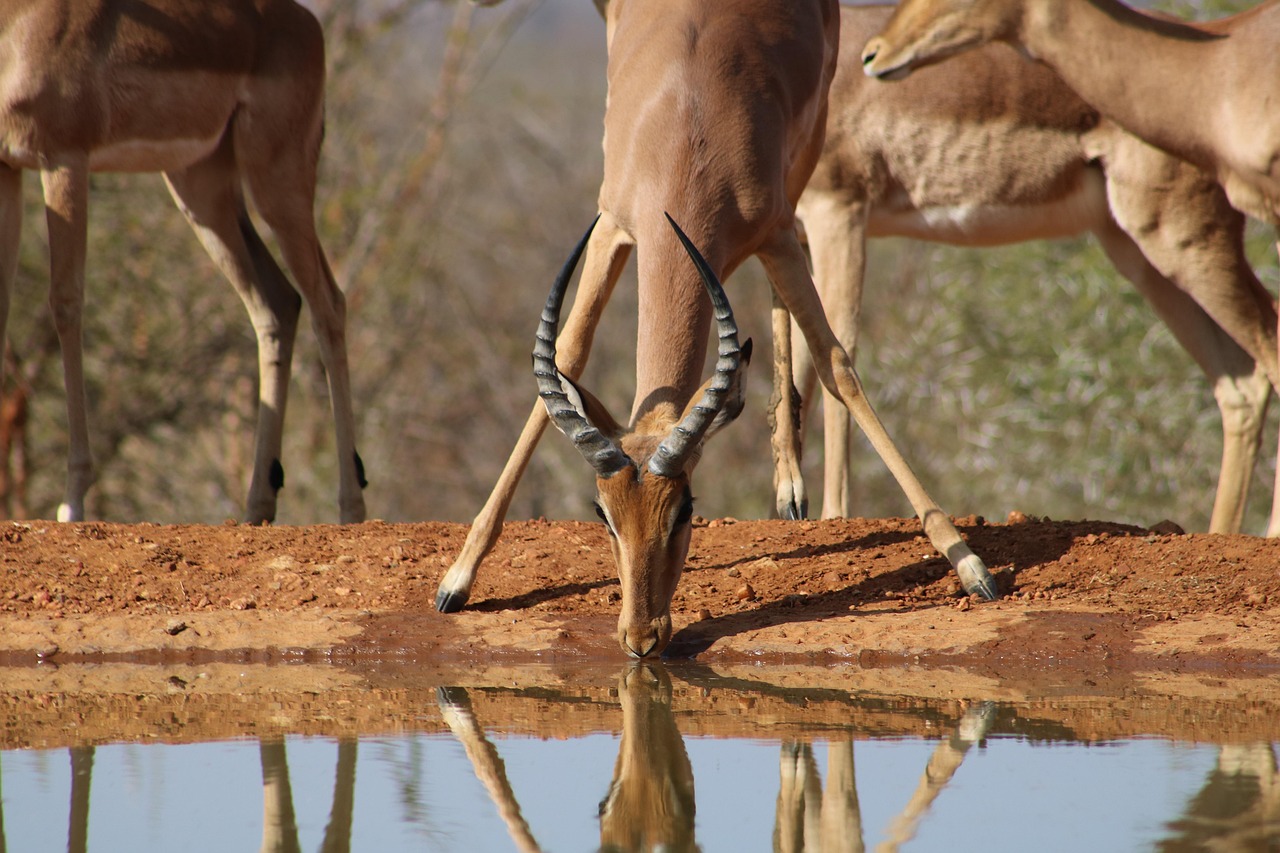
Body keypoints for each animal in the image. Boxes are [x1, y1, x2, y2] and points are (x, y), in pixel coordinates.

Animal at [0, 0, 366, 524]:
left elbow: (66, 304)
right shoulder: (7, 167)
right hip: (202, 191)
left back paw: (350, 507)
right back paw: (257, 508)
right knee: (277, 303)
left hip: (276, 183)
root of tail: (307, 25)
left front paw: (72, 501)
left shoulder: (64, 157)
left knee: (328, 303)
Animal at [437, 0, 997, 659]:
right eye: (603, 515)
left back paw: (791, 488)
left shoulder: (774, 229)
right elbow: (568, 354)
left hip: (805, 160)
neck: (684, 125)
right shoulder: (610, 228)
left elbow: (836, 360)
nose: (640, 638)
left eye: (686, 509)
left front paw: (970, 566)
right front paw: (456, 580)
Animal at [776, 3, 1277, 532]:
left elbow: (837, 348)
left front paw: (832, 514)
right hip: (1139, 255)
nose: (875, 55)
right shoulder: (796, 235)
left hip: (1182, 241)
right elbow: (799, 361)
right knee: (1240, 381)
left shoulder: (839, 211)